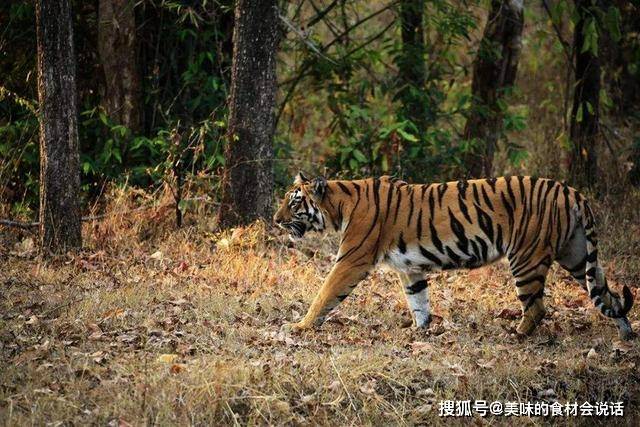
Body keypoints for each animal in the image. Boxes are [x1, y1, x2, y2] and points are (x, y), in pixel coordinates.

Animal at [272, 173, 636, 342]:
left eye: (294, 202)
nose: (275, 220)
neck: (340, 205)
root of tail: (571, 191)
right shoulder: (409, 268)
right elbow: (418, 301)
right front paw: (419, 331)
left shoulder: (351, 260)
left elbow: (324, 294)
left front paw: (300, 325)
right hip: (576, 255)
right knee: (609, 294)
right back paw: (627, 335)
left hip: (526, 257)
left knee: (537, 308)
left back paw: (516, 335)